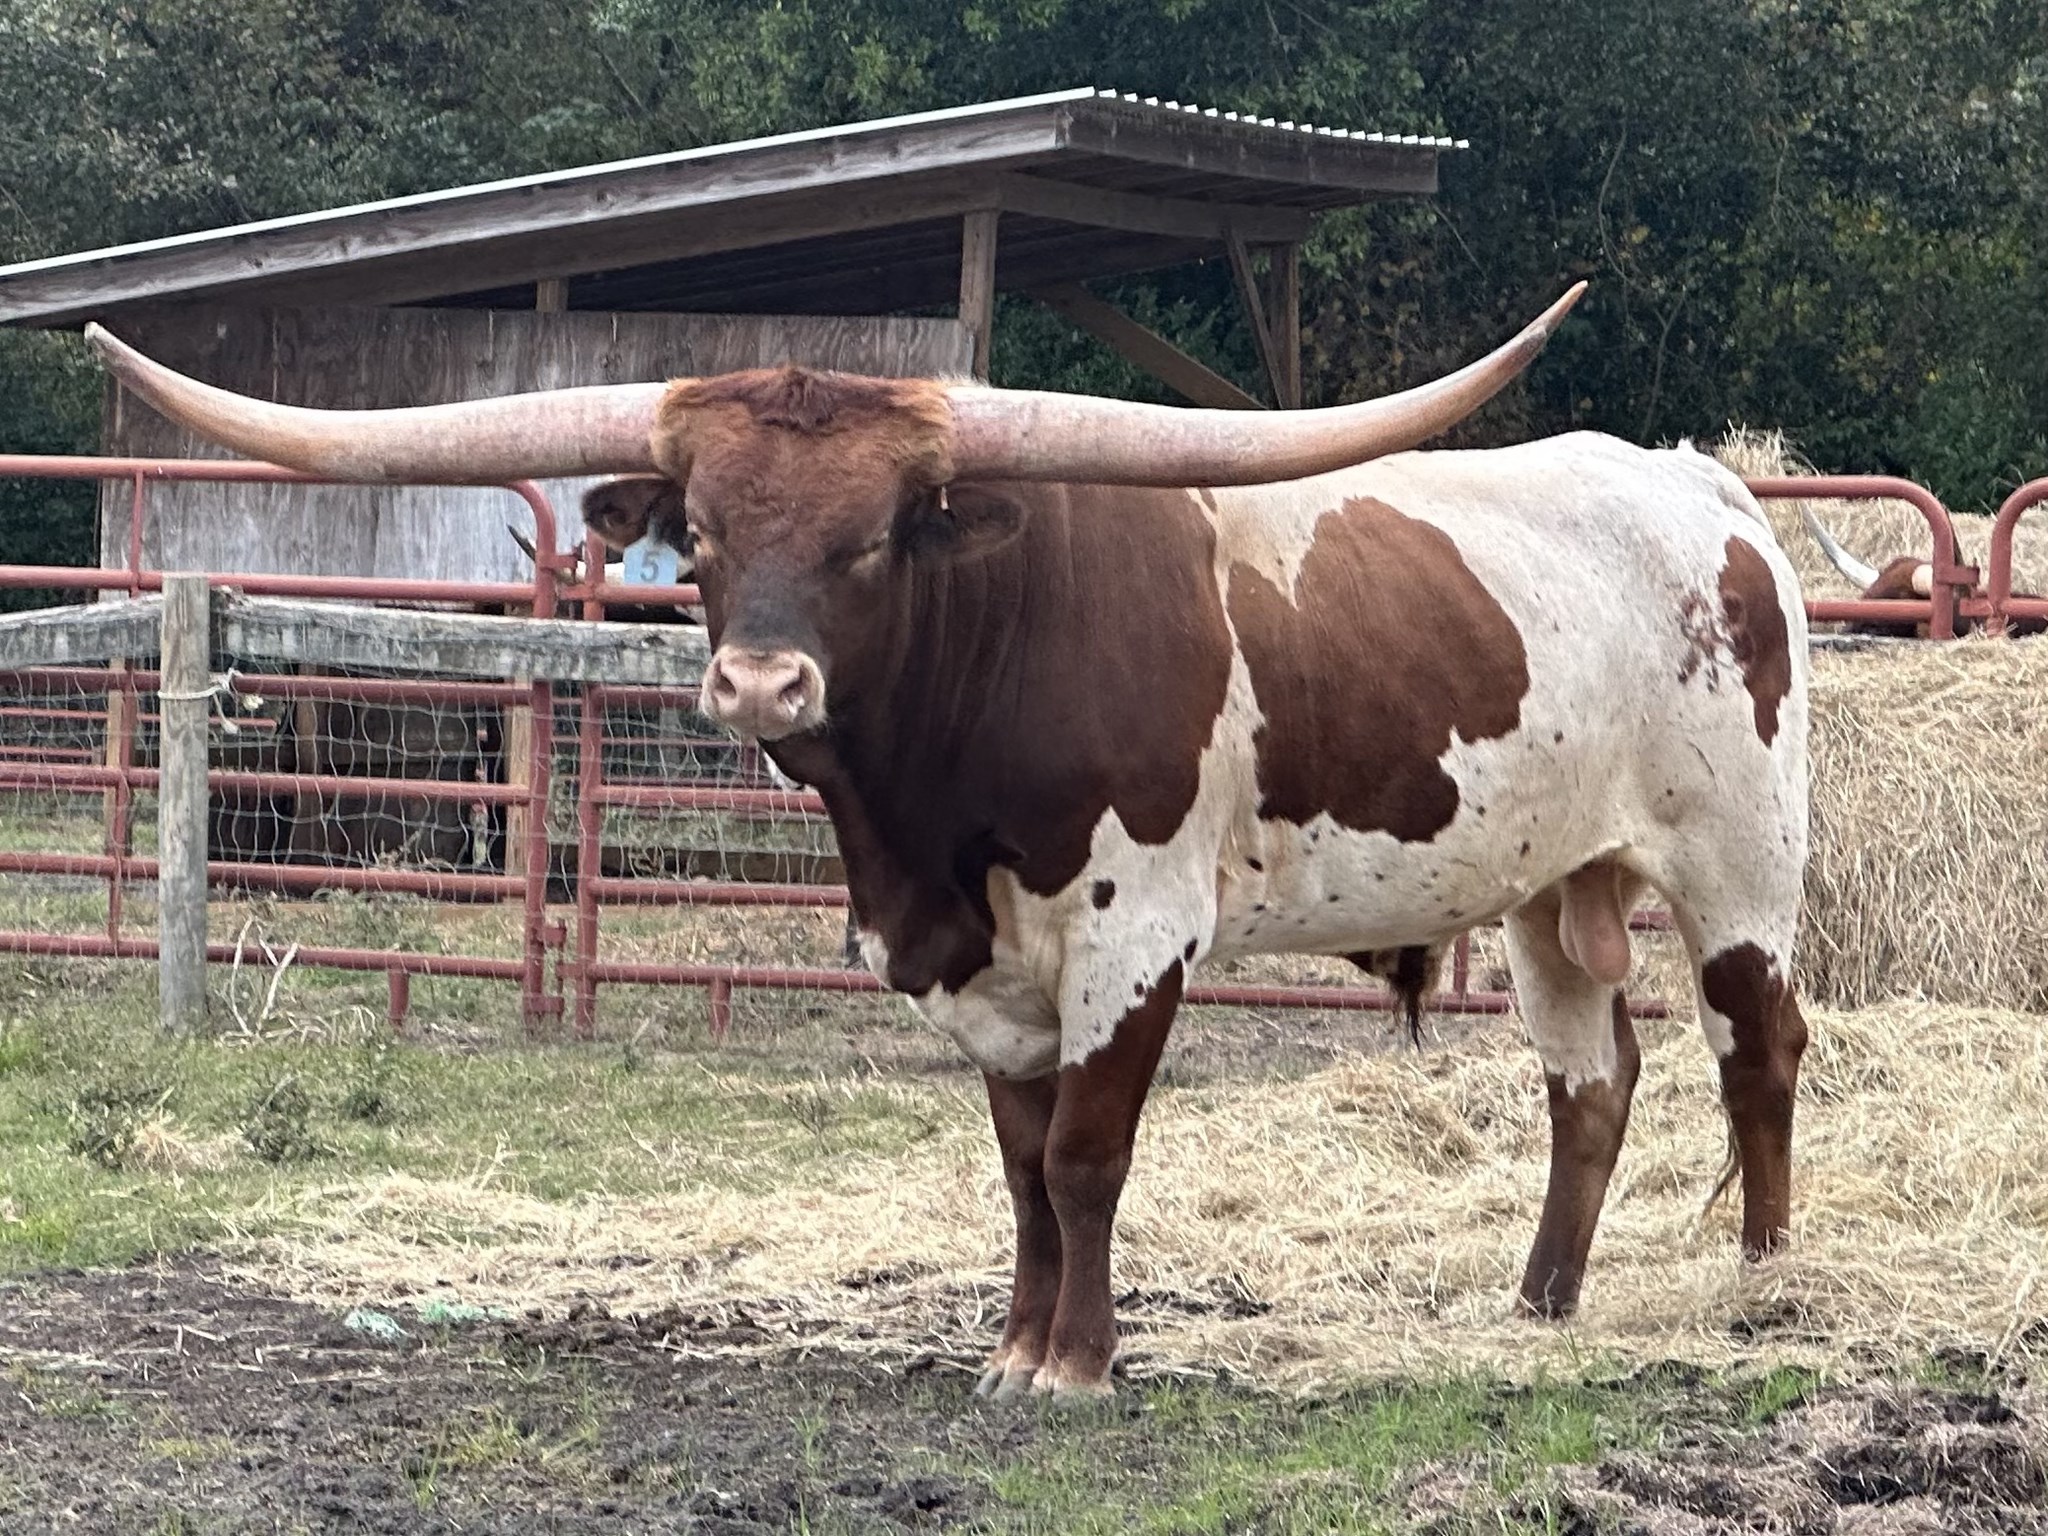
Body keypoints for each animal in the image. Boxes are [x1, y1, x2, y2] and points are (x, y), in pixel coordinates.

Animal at [83, 292, 1812, 1402]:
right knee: (1593, 1081)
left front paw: (1079, 1370)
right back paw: (1539, 1307)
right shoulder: (983, 966)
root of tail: (1705, 485)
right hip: (1550, 884)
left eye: (873, 540)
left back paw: (1761, 1293)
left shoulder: (1132, 932)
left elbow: (1089, 1156)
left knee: (1758, 1052)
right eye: (702, 536)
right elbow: (1022, 1169)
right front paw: (1016, 1343)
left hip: (1738, 862)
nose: (758, 685)